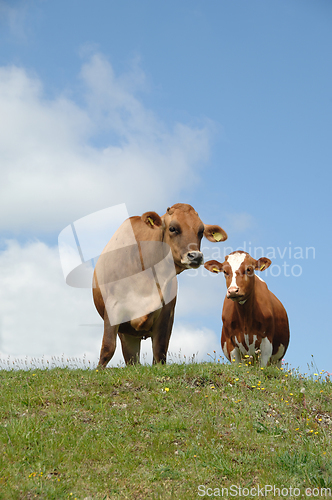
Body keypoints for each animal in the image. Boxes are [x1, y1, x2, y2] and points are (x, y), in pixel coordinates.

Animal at [93, 202, 228, 368]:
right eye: (172, 228)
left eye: (201, 231)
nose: (196, 256)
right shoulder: (113, 308)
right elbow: (107, 348)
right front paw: (99, 370)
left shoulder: (166, 312)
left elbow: (160, 350)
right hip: (126, 333)